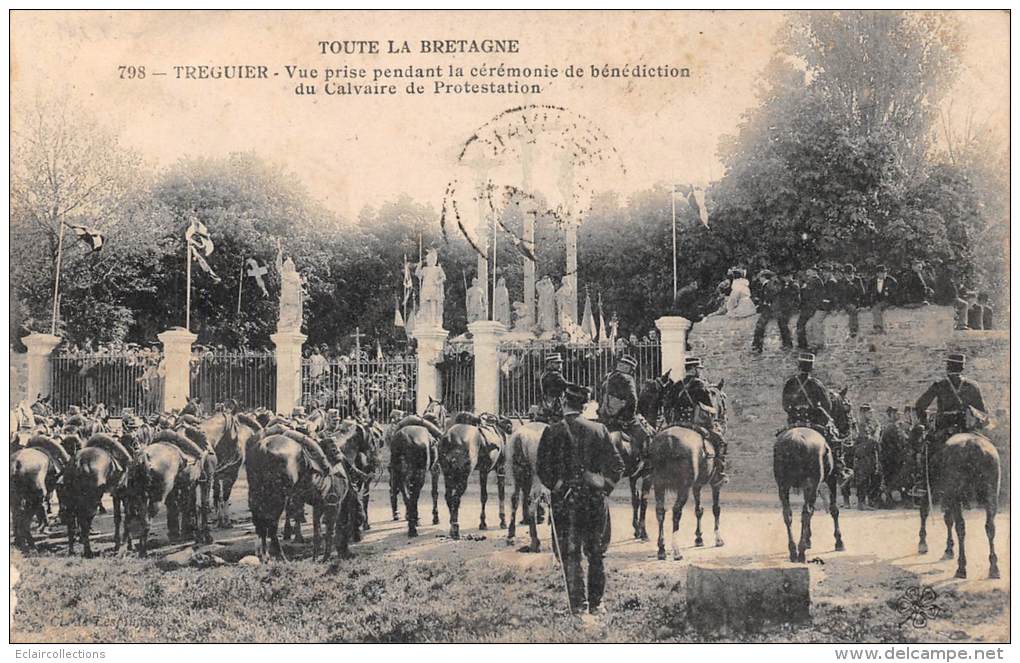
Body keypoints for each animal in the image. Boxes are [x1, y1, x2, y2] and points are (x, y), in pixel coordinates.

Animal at [244, 430, 357, 558]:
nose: (347, 553)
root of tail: (263, 447)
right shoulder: (333, 504)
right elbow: (329, 531)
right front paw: (326, 557)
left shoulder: (319, 505)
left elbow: (317, 533)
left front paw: (316, 558)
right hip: (278, 498)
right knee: (271, 525)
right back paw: (281, 557)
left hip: (257, 493)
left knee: (260, 524)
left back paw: (265, 557)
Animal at [505, 420, 546, 550]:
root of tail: (521, 436)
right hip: (535, 476)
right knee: (532, 499)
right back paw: (535, 541)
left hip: (516, 472)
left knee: (515, 498)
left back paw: (511, 534)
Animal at [913, 426, 999, 575]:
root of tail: (973, 446)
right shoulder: (948, 497)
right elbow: (948, 520)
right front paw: (949, 549)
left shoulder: (935, 491)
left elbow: (927, 512)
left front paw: (923, 544)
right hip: (991, 497)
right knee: (990, 527)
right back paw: (993, 567)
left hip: (955, 496)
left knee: (960, 527)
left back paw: (961, 567)